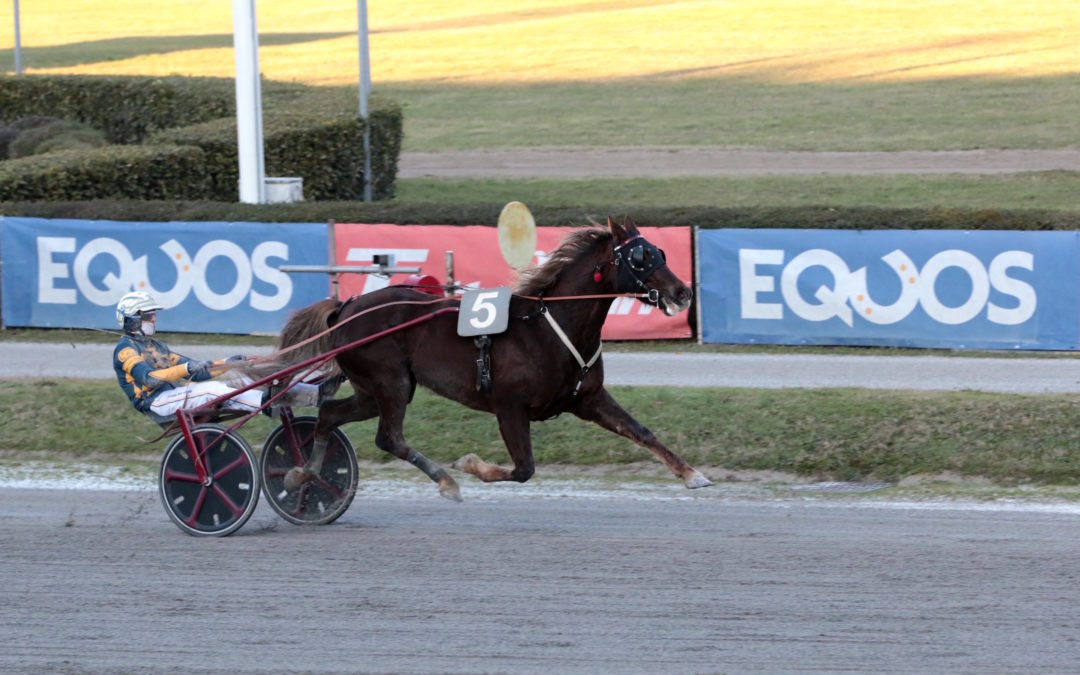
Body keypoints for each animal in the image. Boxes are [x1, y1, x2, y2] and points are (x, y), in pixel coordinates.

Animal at [267, 216, 708, 501]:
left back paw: (302, 473)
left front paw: (692, 474)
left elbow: (641, 431)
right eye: (639, 258)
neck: (549, 326)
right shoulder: (509, 406)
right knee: (388, 437)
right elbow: (524, 469)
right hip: (389, 381)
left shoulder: (588, 398)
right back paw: (445, 480)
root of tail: (347, 306)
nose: (682, 292)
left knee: (330, 415)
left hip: (373, 389)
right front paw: (470, 465)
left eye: (659, 251)